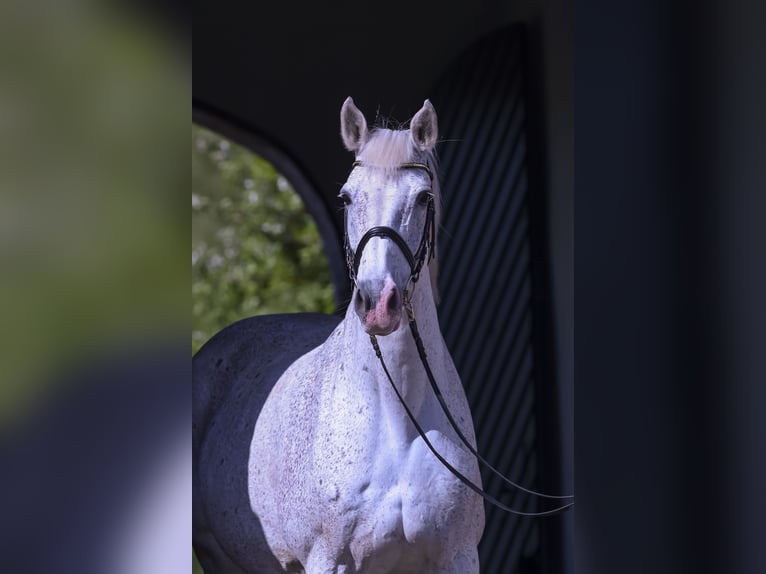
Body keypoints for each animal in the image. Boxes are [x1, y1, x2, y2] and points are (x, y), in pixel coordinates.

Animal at [195, 97, 484, 572]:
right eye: (347, 197)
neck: (398, 419)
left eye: (423, 198)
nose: (378, 302)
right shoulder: (329, 559)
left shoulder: (456, 557)